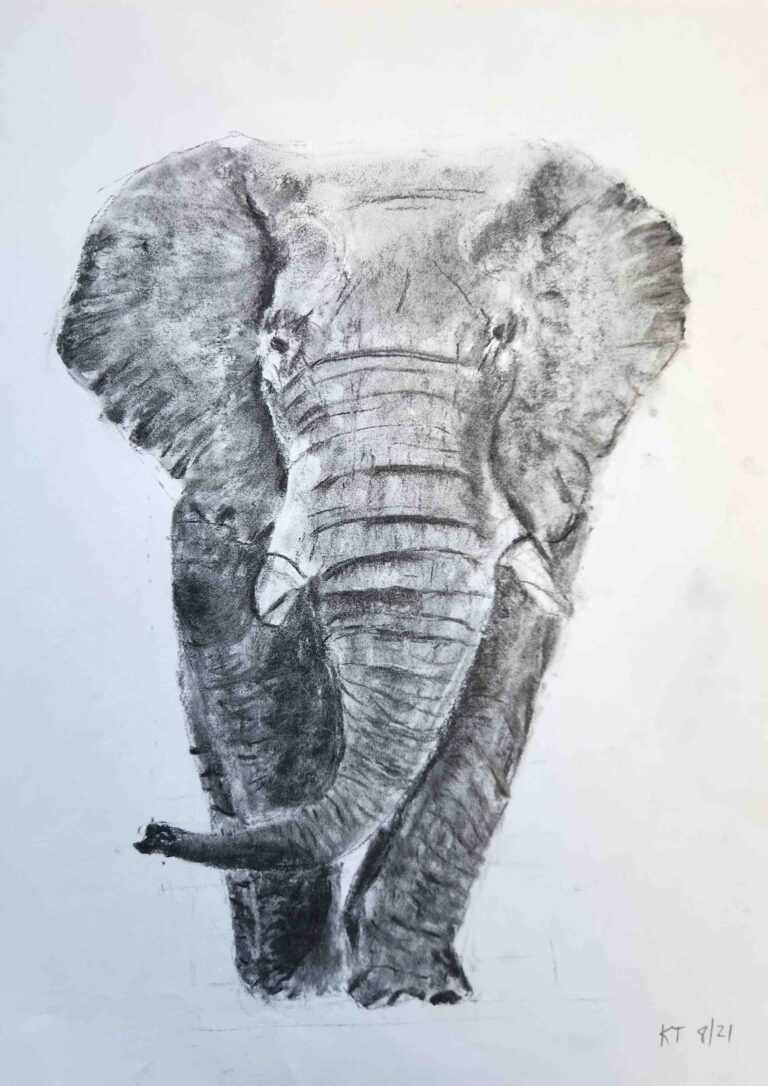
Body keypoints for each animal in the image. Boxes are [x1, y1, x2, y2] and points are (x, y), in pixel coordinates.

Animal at [57, 137, 686, 1006]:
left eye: (502, 340)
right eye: (277, 344)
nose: (149, 835)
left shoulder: (545, 493)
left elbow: (495, 694)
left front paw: (411, 996)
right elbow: (252, 688)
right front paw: (295, 994)